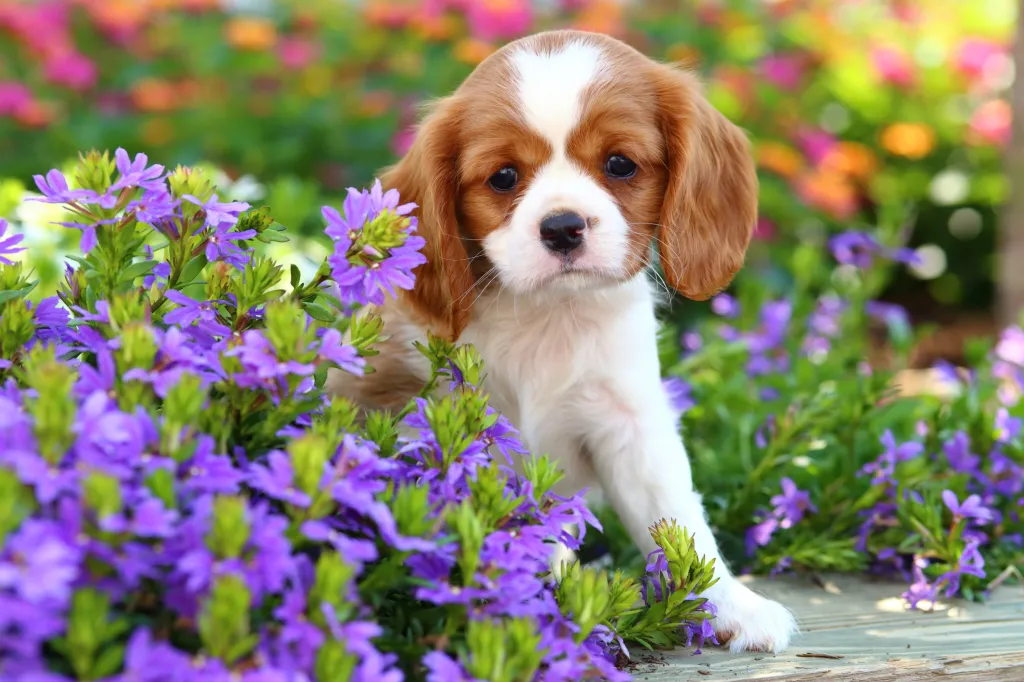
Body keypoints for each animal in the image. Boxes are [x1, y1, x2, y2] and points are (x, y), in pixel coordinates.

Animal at [331, 29, 794, 651]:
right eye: (504, 177)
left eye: (620, 164)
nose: (562, 227)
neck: (549, 316)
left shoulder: (631, 425)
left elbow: (676, 520)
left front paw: (729, 605)